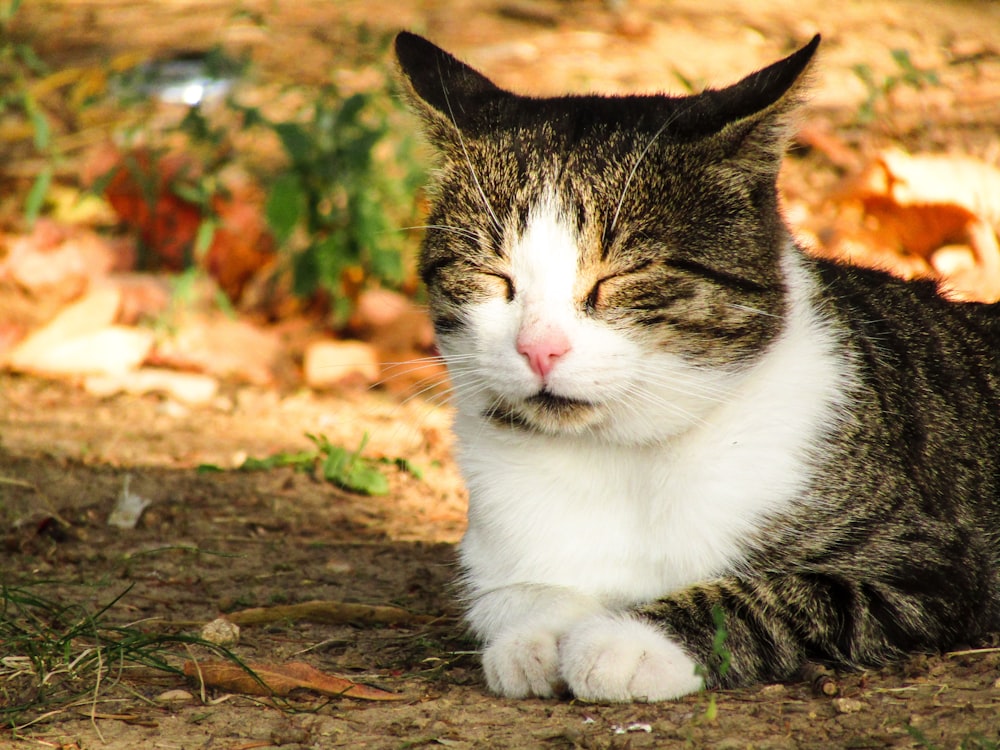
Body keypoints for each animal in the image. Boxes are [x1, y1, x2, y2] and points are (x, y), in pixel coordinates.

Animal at [392, 30, 1000, 704]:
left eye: (621, 275)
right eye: (493, 276)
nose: (538, 348)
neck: (624, 459)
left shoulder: (929, 565)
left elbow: (777, 594)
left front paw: (627, 640)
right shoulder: (494, 555)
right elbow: (513, 595)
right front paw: (538, 632)